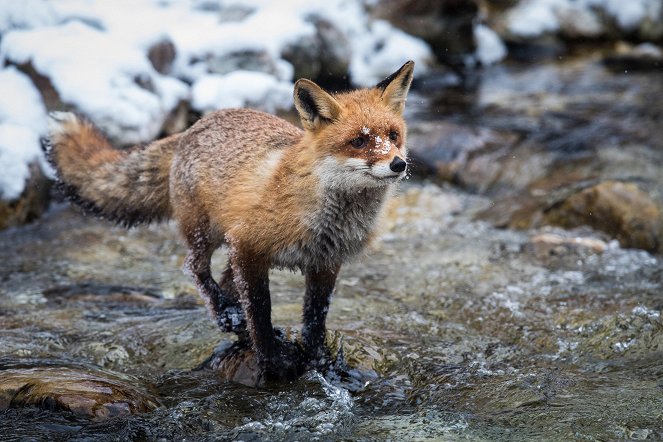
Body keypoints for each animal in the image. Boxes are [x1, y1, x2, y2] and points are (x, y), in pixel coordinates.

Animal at [45, 60, 416, 382]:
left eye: (392, 135)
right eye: (359, 141)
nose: (398, 164)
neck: (324, 215)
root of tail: (193, 127)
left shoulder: (325, 263)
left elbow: (315, 320)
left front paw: (321, 364)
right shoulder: (250, 248)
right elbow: (261, 311)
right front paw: (271, 361)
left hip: (229, 247)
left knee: (224, 284)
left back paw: (236, 327)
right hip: (206, 233)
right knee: (196, 270)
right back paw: (229, 318)